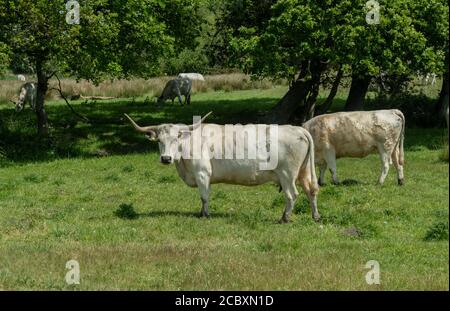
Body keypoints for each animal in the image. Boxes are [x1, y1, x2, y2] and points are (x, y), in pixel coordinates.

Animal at [123, 112, 320, 224]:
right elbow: (205, 196)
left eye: (176, 138)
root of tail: (298, 129)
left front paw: (205, 216)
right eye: (159, 141)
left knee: (292, 195)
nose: (166, 158)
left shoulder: (202, 173)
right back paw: (316, 216)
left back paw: (284, 218)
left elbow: (204, 196)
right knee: (311, 191)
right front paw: (201, 213)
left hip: (287, 174)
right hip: (303, 172)